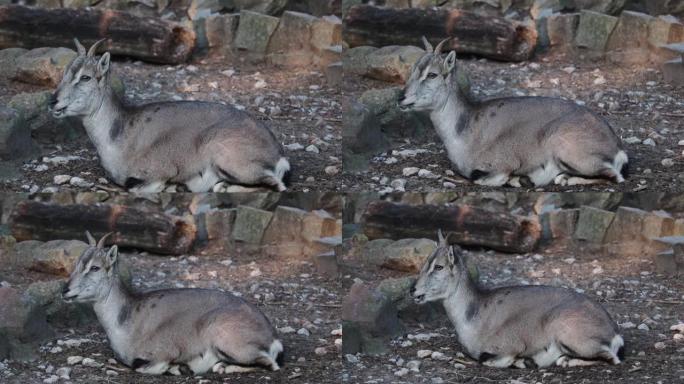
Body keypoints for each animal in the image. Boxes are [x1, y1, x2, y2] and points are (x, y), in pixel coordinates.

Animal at [50, 39, 290, 192]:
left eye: (86, 77)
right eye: (65, 73)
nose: (54, 101)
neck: (119, 138)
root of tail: (278, 155)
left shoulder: (158, 172)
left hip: (227, 156)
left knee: (276, 185)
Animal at [64, 234, 284, 376]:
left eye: (95, 267)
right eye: (76, 264)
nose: (65, 290)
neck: (126, 322)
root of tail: (273, 338)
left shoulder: (162, 352)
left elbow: (144, 367)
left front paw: (180, 367)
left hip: (227, 339)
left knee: (270, 364)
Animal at [408, 231, 628, 368]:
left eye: (439, 266)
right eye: (425, 262)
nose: (413, 290)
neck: (473, 318)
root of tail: (614, 333)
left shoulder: (509, 346)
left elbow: (489, 360)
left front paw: (524, 361)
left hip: (568, 332)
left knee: (611, 358)